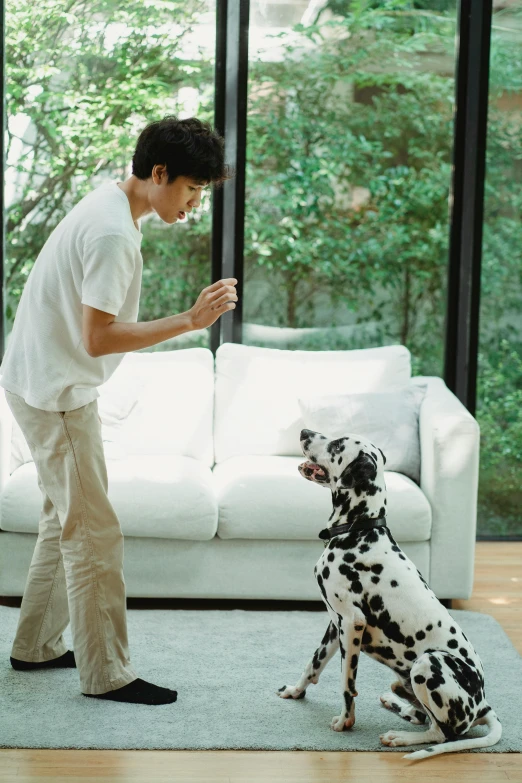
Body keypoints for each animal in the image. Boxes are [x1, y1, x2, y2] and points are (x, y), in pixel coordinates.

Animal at [276, 428, 500, 760]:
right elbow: (313, 664)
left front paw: (346, 721)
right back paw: (396, 704)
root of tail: (482, 704)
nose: (304, 432)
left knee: (439, 733)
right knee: (420, 715)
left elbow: (347, 683)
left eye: (337, 444)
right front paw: (295, 691)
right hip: (404, 680)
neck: (359, 530)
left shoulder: (351, 624)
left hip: (428, 663)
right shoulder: (334, 624)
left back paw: (400, 736)